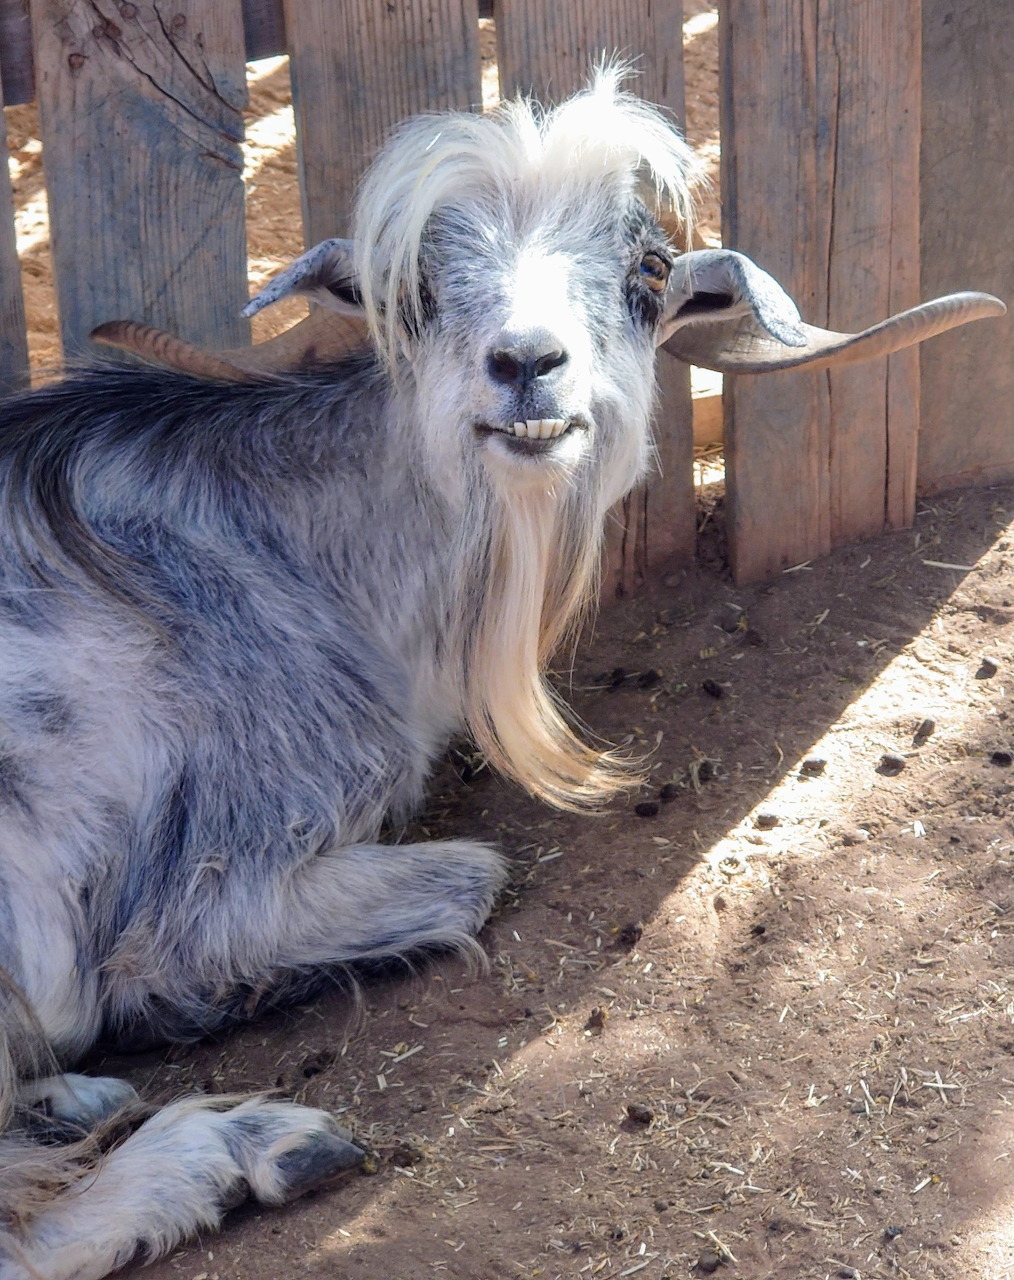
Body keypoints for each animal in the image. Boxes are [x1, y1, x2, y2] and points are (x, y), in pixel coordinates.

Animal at [0, 67, 1002, 1280]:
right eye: (421, 288)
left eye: (647, 273)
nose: (527, 363)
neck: (291, 547)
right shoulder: (215, 876)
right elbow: (467, 875)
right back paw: (235, 1148)